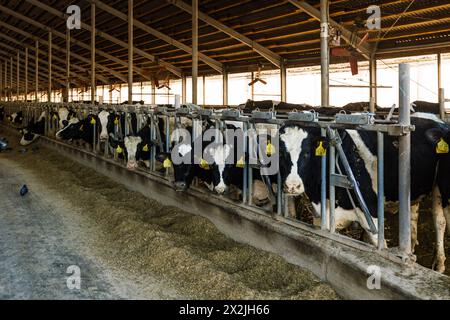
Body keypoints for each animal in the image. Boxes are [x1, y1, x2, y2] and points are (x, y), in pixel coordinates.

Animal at [278, 115, 450, 272]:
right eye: (281, 154)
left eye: (307, 153)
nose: (292, 186)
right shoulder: (322, 217)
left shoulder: (371, 212)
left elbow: (382, 245)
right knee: (413, 213)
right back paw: (412, 246)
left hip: (439, 187)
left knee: (439, 221)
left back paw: (439, 264)